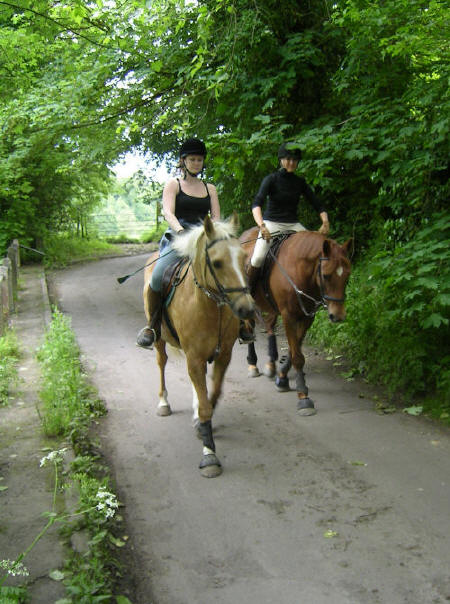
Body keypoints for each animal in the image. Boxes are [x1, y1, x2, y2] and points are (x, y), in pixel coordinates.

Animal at [142, 216, 255, 476]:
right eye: (217, 262)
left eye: (243, 258)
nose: (247, 309)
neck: (210, 307)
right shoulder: (194, 357)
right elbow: (205, 406)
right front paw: (209, 455)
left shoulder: (222, 356)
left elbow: (212, 395)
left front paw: (202, 426)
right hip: (160, 340)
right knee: (161, 364)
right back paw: (163, 402)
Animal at [241, 226, 354, 416]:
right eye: (326, 275)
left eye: (347, 276)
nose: (337, 315)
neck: (298, 269)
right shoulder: (289, 316)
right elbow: (297, 356)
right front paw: (303, 396)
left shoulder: (308, 316)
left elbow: (295, 349)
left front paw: (282, 377)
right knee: (250, 326)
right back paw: (252, 365)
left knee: (270, 326)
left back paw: (271, 364)